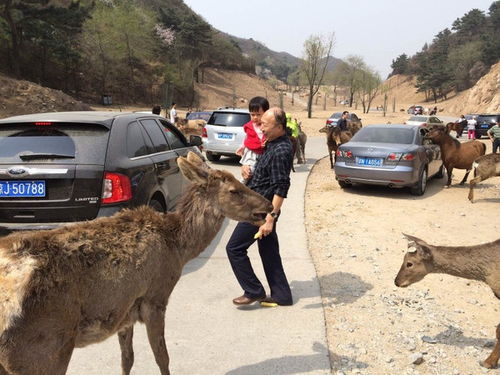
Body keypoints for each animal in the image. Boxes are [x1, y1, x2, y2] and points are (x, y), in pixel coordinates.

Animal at [0, 151, 274, 374]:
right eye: (234, 190)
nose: (269, 206)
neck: (177, 247)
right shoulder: (155, 297)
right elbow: (162, 357)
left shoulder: (125, 310)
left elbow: (127, 359)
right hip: (43, 346)